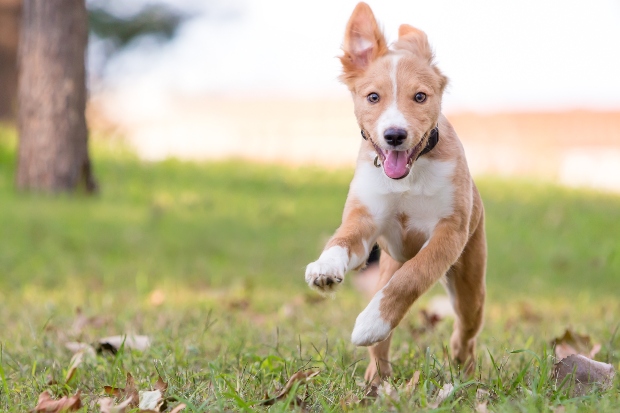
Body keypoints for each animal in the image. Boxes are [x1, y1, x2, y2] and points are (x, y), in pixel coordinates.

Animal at [302, 2, 486, 384]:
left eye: (420, 97)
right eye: (373, 97)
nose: (395, 135)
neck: (409, 176)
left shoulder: (450, 232)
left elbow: (413, 276)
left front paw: (372, 321)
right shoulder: (365, 219)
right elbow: (341, 240)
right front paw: (324, 268)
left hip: (469, 281)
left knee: (466, 329)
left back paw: (463, 369)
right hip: (385, 266)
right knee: (383, 338)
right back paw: (377, 379)